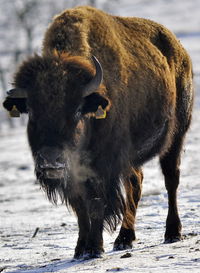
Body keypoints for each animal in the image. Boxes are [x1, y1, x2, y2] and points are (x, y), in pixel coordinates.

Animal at [3, 5, 194, 258]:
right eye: (32, 111)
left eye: (77, 110)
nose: (50, 159)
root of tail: (179, 51)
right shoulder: (74, 173)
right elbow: (80, 208)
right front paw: (80, 249)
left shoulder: (104, 166)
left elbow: (96, 204)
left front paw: (94, 248)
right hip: (132, 159)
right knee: (135, 185)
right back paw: (124, 239)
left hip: (176, 137)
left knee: (171, 180)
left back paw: (172, 233)